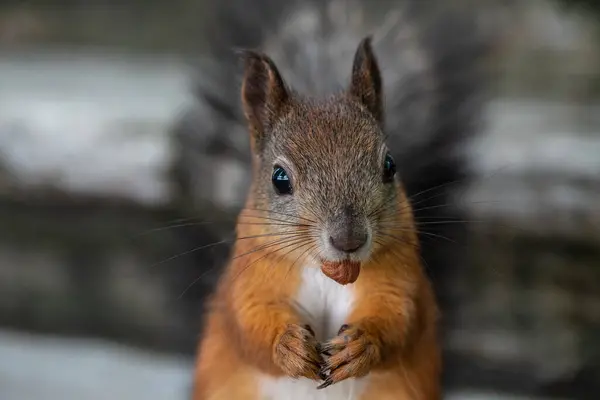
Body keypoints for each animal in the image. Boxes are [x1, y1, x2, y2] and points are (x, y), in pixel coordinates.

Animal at [185, 0, 490, 400]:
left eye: (390, 165)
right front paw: (288, 345)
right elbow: (249, 323)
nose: (349, 241)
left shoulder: (399, 277)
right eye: (279, 179)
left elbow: (399, 318)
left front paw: (362, 345)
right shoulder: (251, 276)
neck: (326, 272)